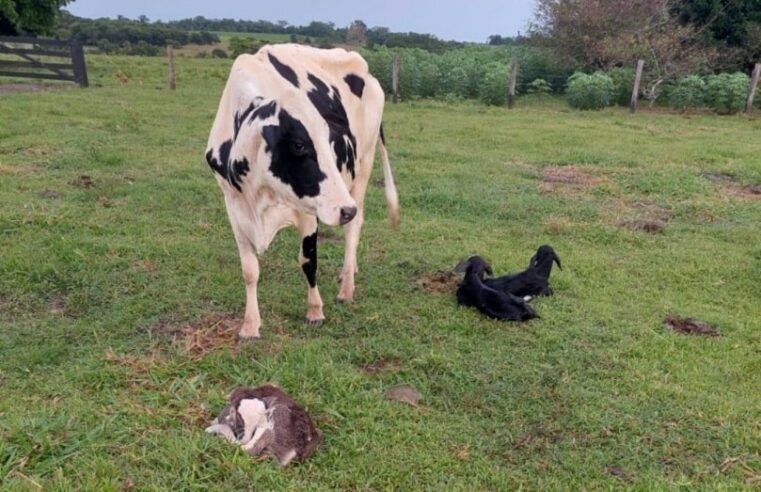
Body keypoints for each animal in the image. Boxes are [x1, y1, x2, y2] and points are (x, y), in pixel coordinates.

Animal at [205, 44, 399, 339]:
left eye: (329, 140)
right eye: (298, 145)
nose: (346, 210)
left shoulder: (308, 208)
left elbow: (308, 260)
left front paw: (315, 311)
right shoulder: (234, 205)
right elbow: (249, 270)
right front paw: (250, 325)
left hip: (363, 165)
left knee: (354, 227)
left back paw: (346, 287)